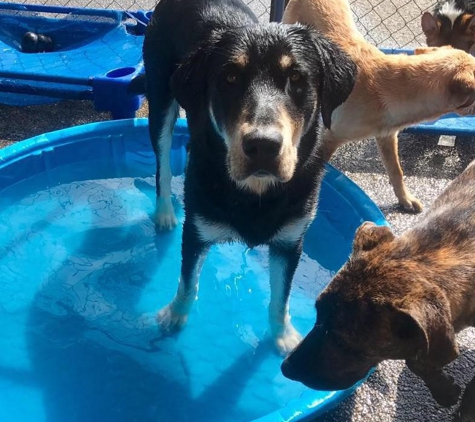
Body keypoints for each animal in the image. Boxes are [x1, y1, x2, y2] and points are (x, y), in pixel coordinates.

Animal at [134, 0, 356, 352]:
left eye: (297, 77)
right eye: (230, 77)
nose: (263, 145)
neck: (255, 191)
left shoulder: (290, 241)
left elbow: (280, 298)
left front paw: (282, 336)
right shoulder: (197, 230)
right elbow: (188, 282)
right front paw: (175, 316)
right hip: (160, 93)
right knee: (163, 164)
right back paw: (165, 211)